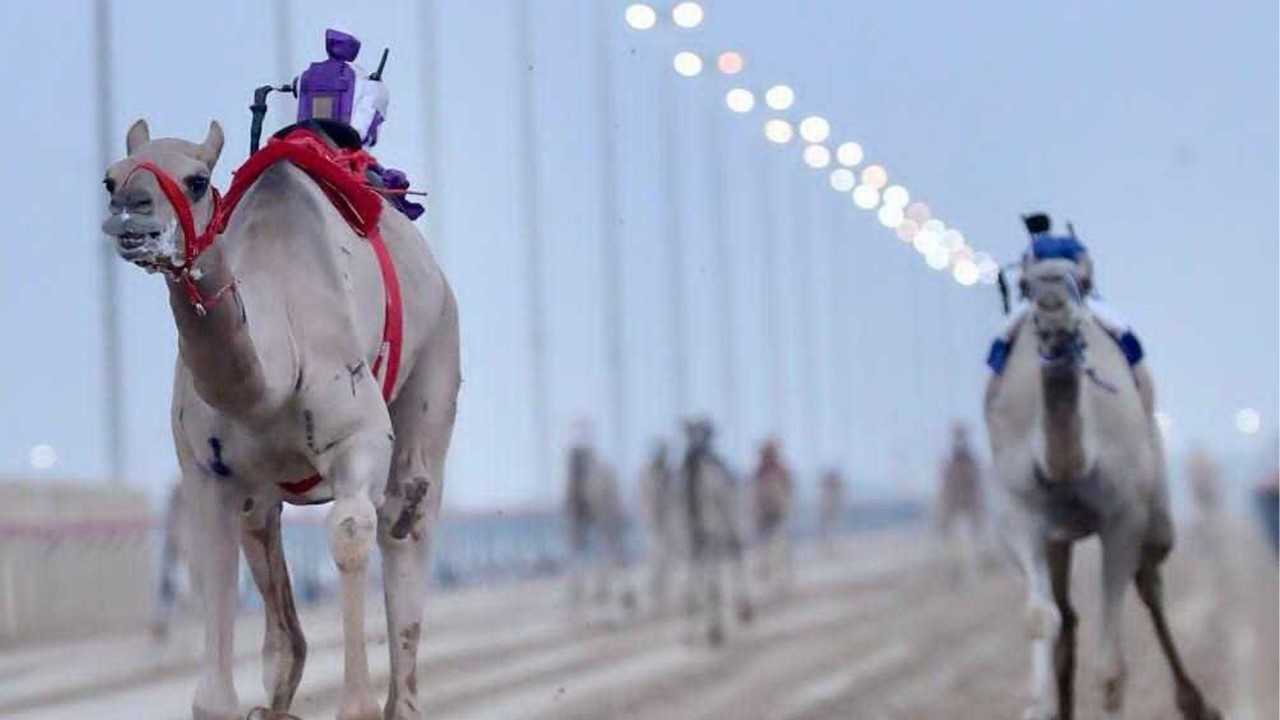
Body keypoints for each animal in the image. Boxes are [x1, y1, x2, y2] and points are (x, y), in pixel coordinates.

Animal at [102, 119, 460, 720]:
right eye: (111, 178)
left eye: (197, 181)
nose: (131, 211)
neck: (273, 376)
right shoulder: (207, 470)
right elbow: (212, 581)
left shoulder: (359, 438)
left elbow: (350, 532)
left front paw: (358, 704)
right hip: (261, 488)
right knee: (264, 537)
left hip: (438, 353)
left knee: (406, 514)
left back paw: (402, 700)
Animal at [680, 418, 752, 646]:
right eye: (690, 433)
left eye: (707, 432)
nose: (696, 453)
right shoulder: (692, 537)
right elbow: (693, 581)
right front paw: (689, 632)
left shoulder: (709, 533)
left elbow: (712, 582)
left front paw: (714, 630)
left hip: (727, 517)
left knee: (735, 548)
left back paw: (744, 609)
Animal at [984, 260, 1218, 720]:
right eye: (1026, 283)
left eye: (1076, 279)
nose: (1052, 305)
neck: (1068, 463)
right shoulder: (1021, 514)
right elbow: (1041, 617)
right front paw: (1038, 708)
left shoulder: (1123, 516)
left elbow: (1111, 664)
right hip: (1058, 539)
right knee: (1068, 616)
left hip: (1157, 509)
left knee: (1150, 584)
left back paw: (1197, 703)